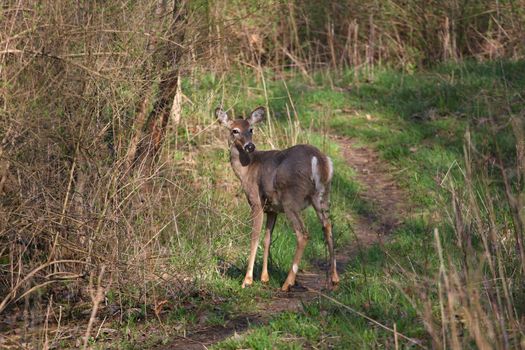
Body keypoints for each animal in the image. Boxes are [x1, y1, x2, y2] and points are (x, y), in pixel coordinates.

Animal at [215, 105, 338, 292]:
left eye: (251, 129)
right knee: (327, 226)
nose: (250, 146)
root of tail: (318, 159)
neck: (247, 170)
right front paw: (264, 278)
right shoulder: (272, 209)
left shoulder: (256, 202)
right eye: (234, 130)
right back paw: (334, 278)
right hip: (322, 195)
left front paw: (247, 279)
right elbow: (267, 239)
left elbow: (254, 237)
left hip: (291, 200)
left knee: (303, 234)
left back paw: (288, 283)